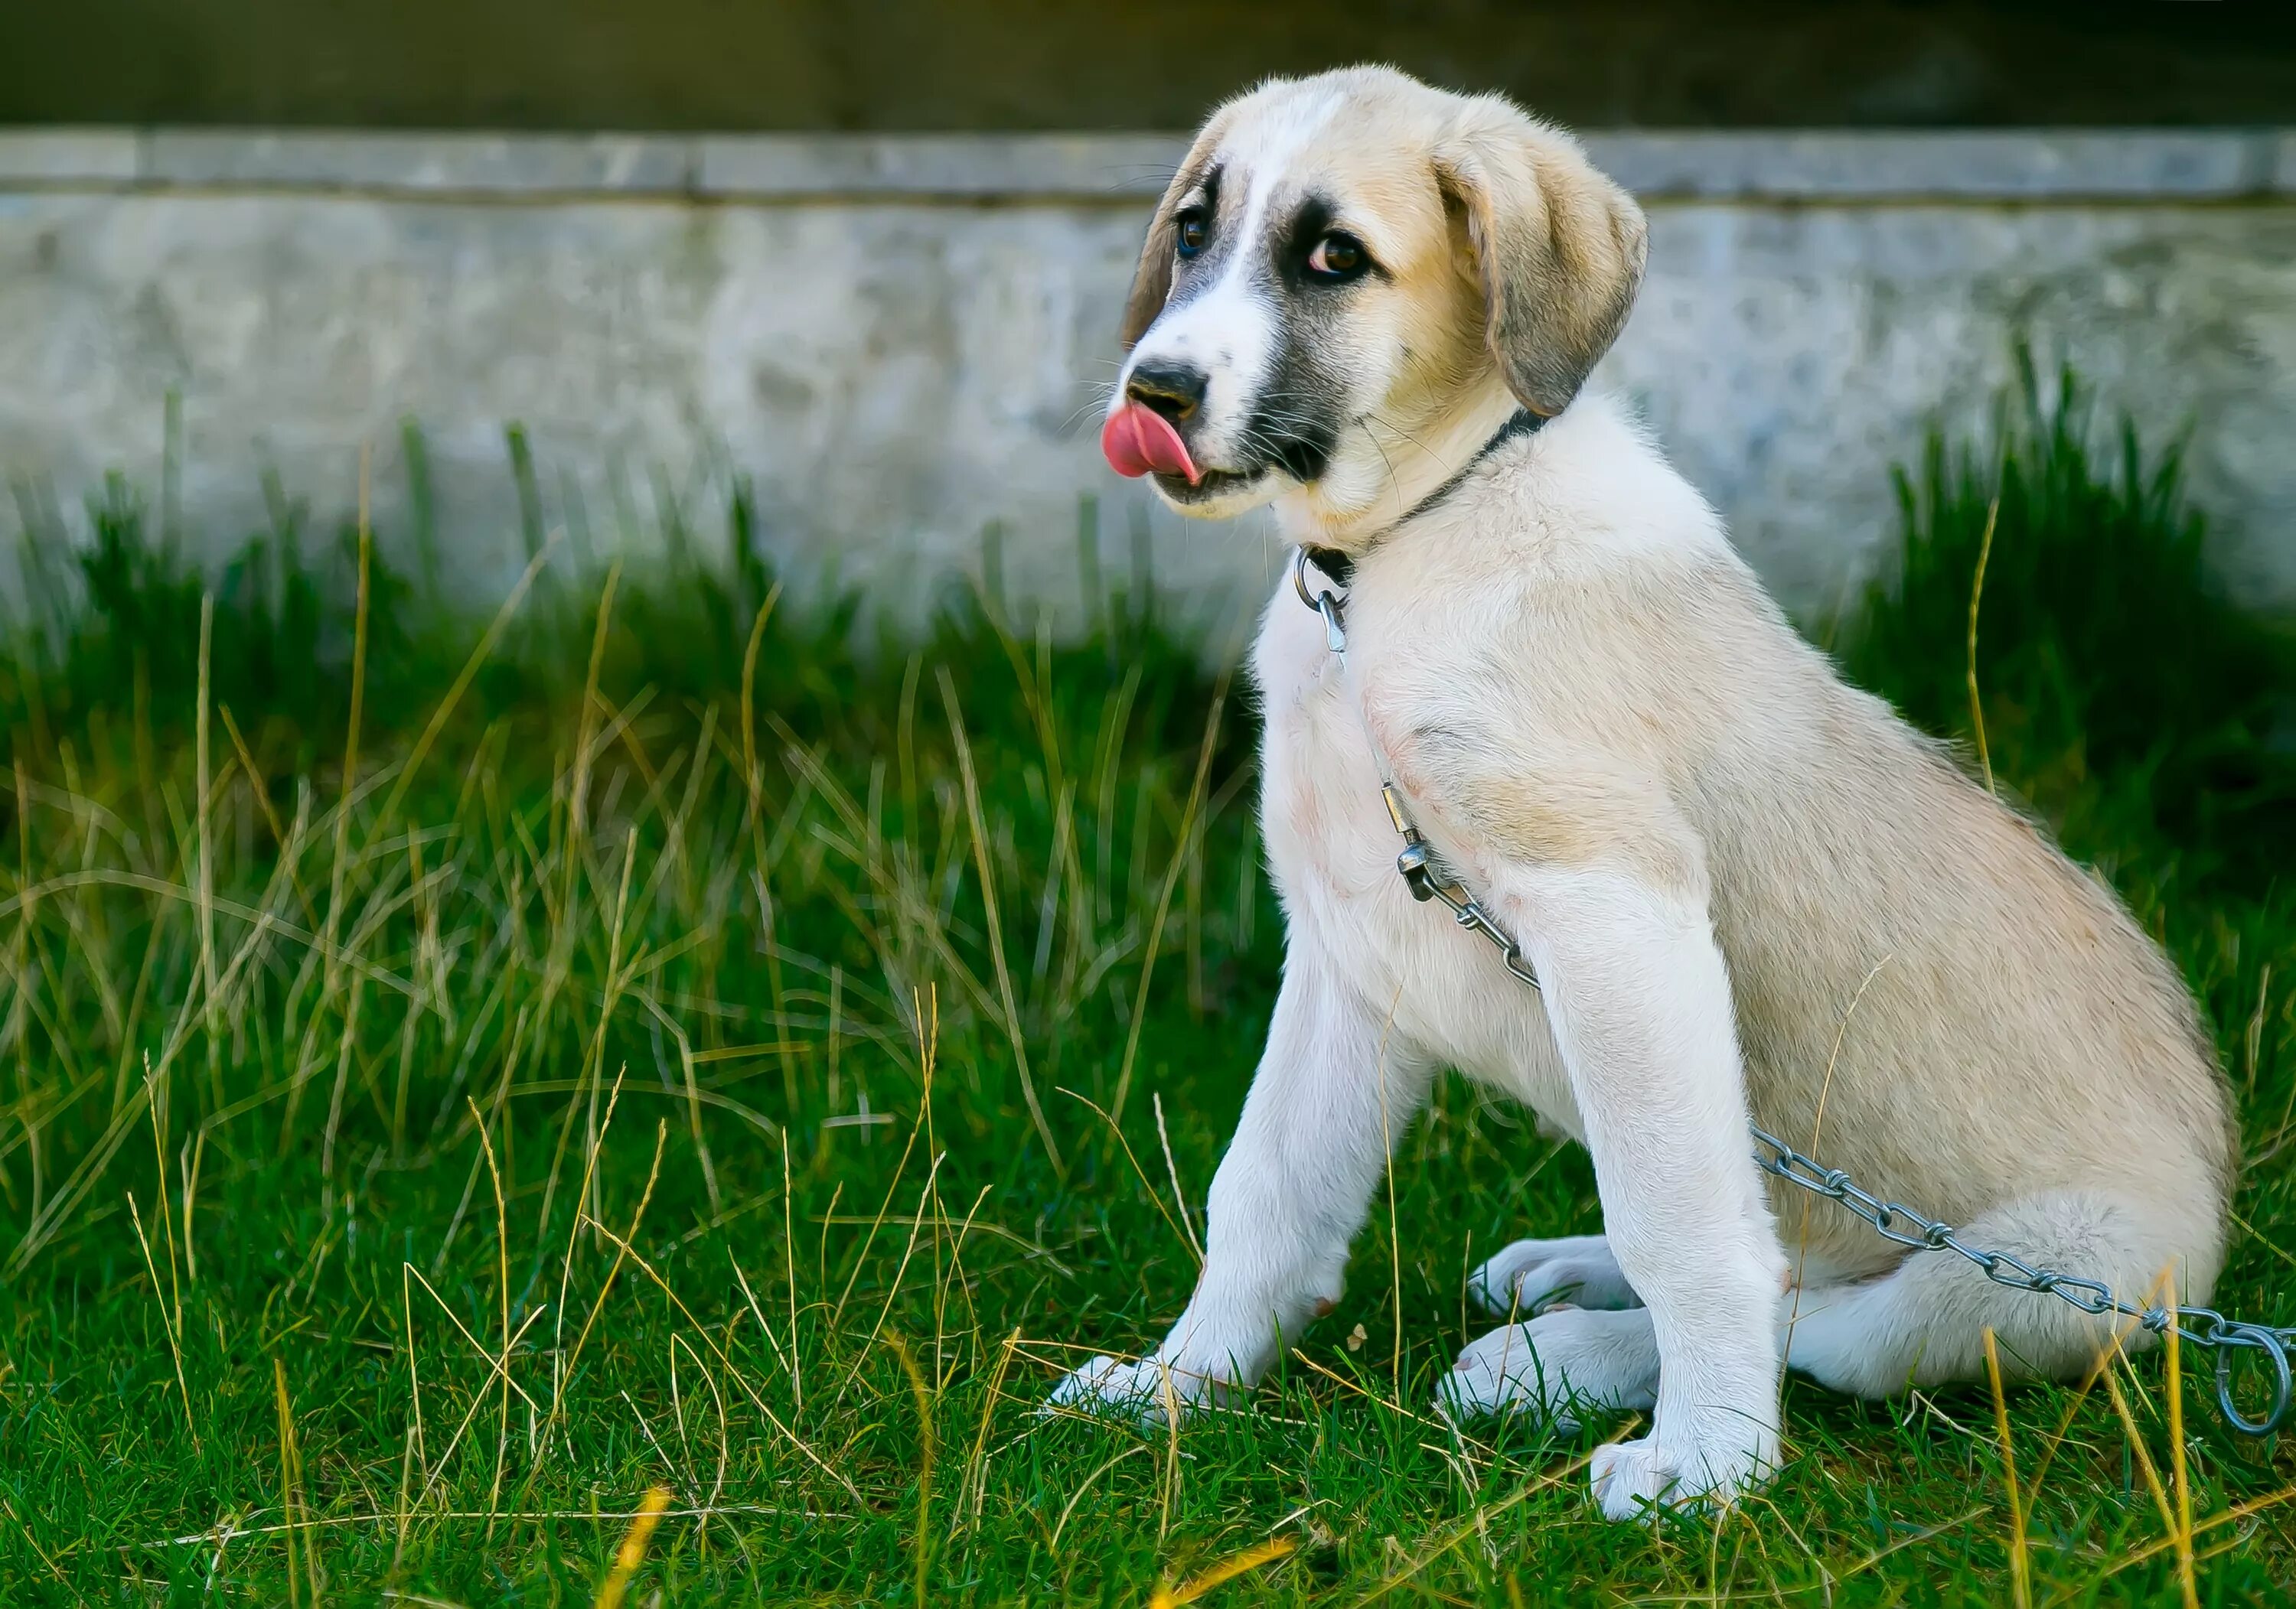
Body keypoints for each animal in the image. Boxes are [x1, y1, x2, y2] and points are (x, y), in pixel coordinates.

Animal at [1052, 66, 2232, 1515]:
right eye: (1195, 231)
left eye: (1334, 258)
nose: (1151, 390)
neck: (1408, 545)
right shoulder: (1349, 944)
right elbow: (1266, 1188)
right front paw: (1181, 1385)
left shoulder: (1614, 909)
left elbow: (1684, 1224)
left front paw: (1710, 1459)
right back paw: (1566, 1276)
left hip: (2053, 1277)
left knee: (1824, 1309)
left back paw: (1562, 1360)